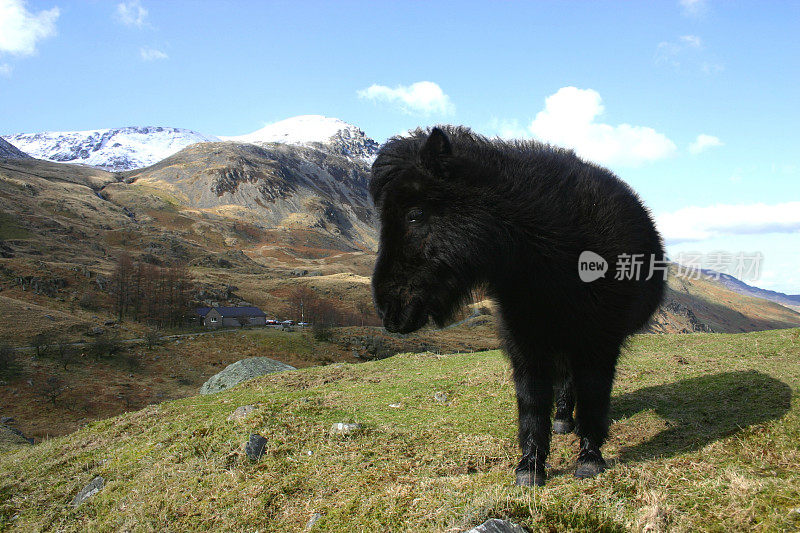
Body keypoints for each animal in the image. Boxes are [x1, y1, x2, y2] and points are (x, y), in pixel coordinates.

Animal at [372, 127, 664, 484]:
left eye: (414, 214)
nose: (389, 311)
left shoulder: (600, 343)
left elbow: (594, 398)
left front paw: (590, 457)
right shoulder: (525, 342)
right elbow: (532, 402)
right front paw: (530, 465)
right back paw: (563, 418)